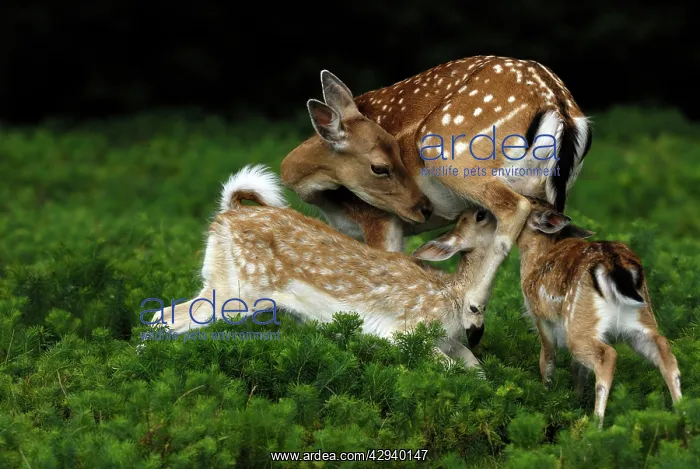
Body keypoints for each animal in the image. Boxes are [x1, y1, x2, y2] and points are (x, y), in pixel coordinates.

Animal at [147, 164, 499, 369]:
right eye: (478, 216)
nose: (490, 210)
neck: (454, 297)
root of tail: (226, 215)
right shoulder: (402, 331)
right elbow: (449, 367)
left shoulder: (448, 340)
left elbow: (474, 365)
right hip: (233, 292)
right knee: (164, 317)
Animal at [280, 56, 593, 319]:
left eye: (386, 161)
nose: (423, 208)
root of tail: (559, 108)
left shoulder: (379, 218)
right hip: (550, 195)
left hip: (451, 154)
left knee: (513, 206)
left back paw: (474, 304)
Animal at [511, 196, 682, 427]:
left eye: (529, 202)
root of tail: (614, 264)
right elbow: (578, 369)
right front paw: (574, 399)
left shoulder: (540, 316)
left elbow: (547, 357)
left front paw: (547, 393)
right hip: (639, 318)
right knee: (664, 348)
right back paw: (683, 413)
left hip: (579, 323)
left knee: (607, 355)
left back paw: (595, 425)